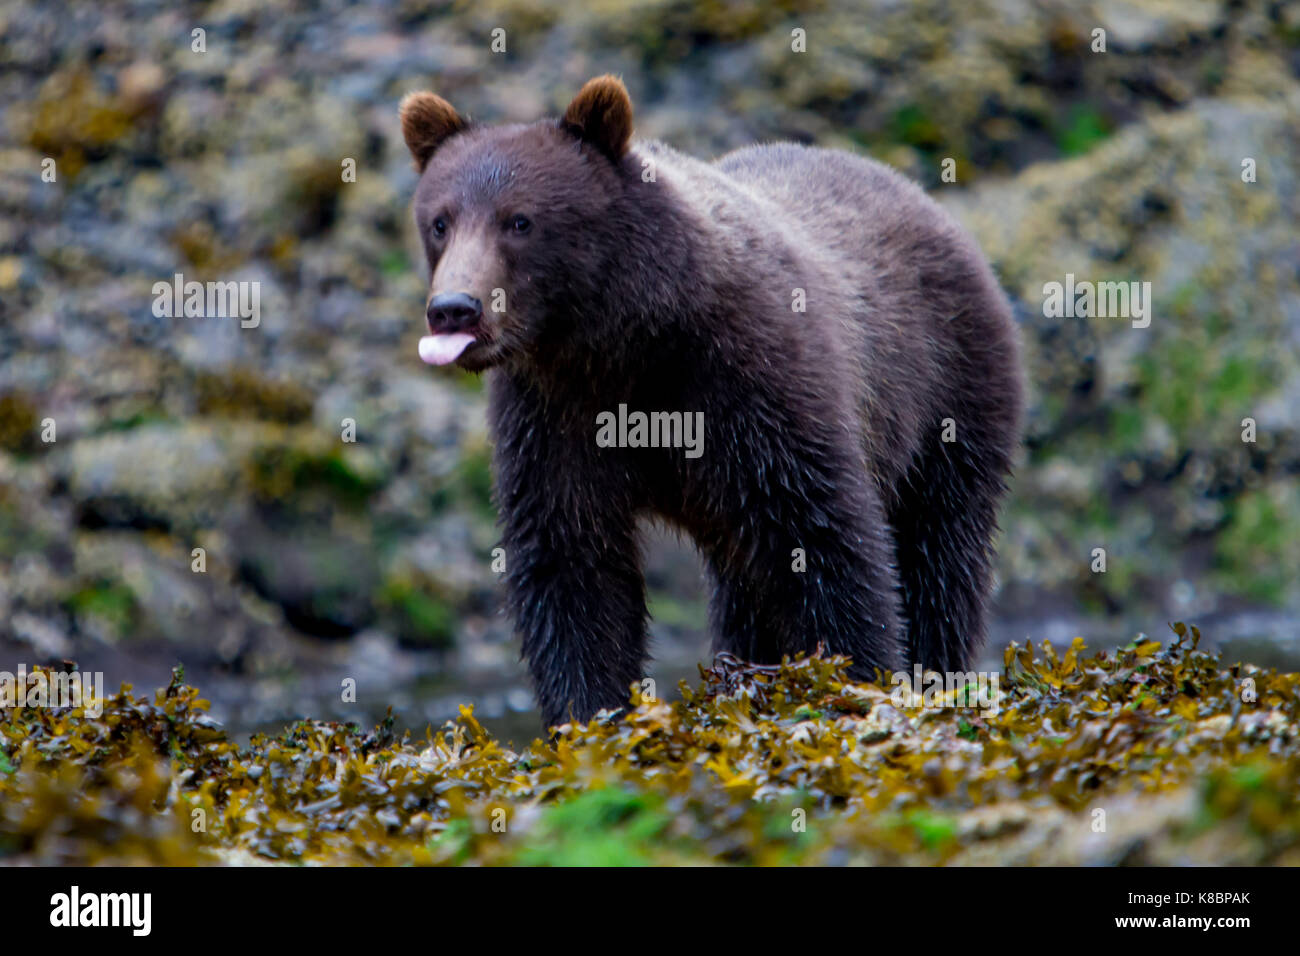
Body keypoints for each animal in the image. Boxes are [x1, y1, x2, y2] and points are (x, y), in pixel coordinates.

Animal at [400, 76, 1019, 733]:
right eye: (440, 221)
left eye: (519, 220)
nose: (455, 308)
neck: (623, 343)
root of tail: (919, 195)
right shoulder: (551, 414)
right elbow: (571, 563)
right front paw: (590, 713)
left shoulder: (752, 384)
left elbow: (825, 535)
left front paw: (856, 677)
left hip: (950, 387)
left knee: (940, 547)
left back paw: (938, 670)